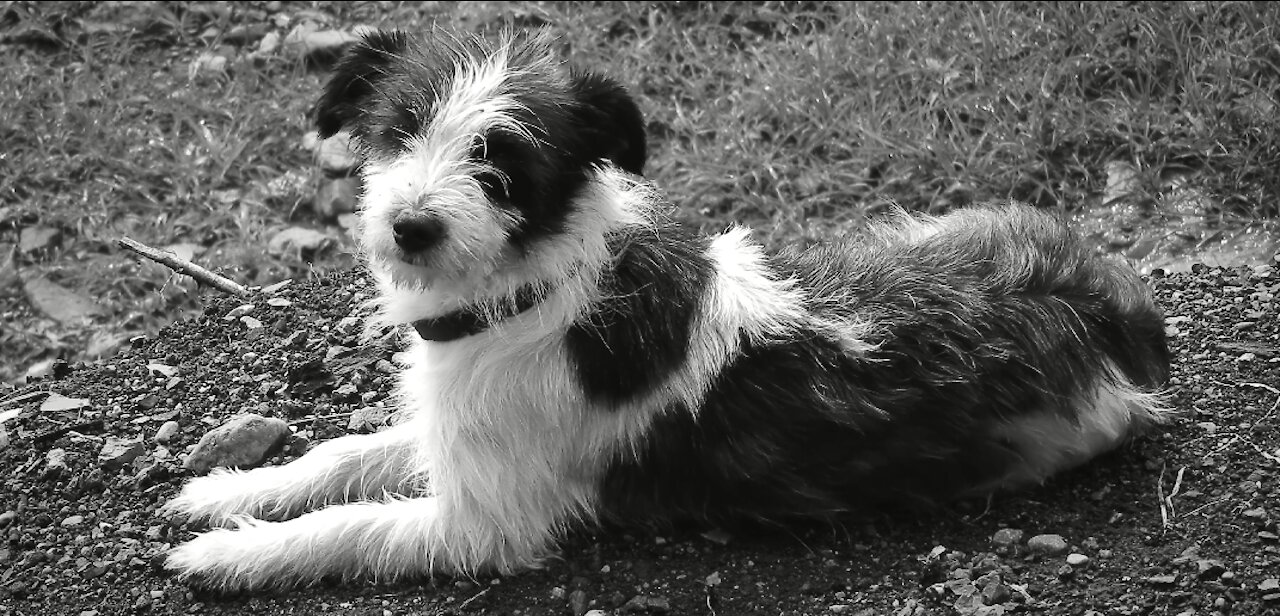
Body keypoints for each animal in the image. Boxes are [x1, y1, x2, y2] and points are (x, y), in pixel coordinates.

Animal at [160, 30, 1172, 591]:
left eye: (502, 164)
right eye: (397, 129)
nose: (410, 226)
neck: (531, 291)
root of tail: (1117, 312)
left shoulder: (484, 521)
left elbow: (350, 525)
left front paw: (231, 557)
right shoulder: (461, 430)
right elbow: (343, 454)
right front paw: (230, 491)